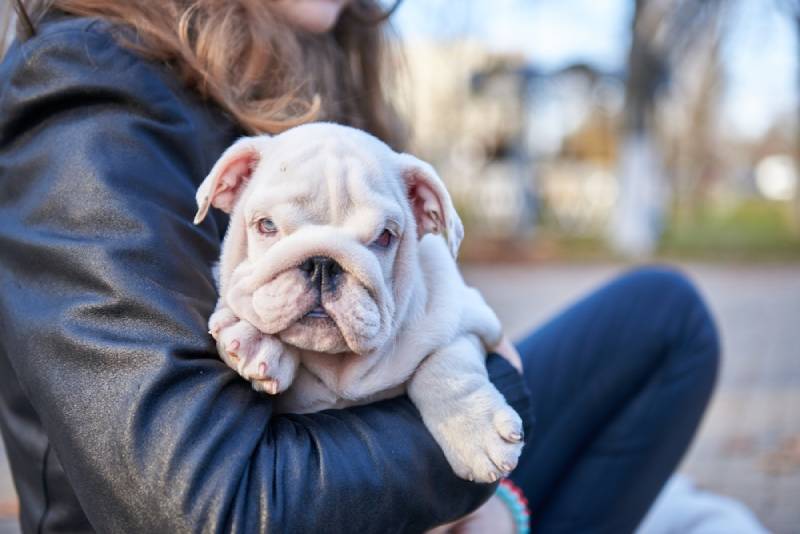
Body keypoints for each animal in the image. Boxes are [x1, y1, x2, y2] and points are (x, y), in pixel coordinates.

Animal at [194, 123, 524, 484]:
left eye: (385, 237)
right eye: (266, 225)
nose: (322, 263)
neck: (339, 369)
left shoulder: (470, 319)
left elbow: (448, 364)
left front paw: (476, 429)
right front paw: (257, 342)